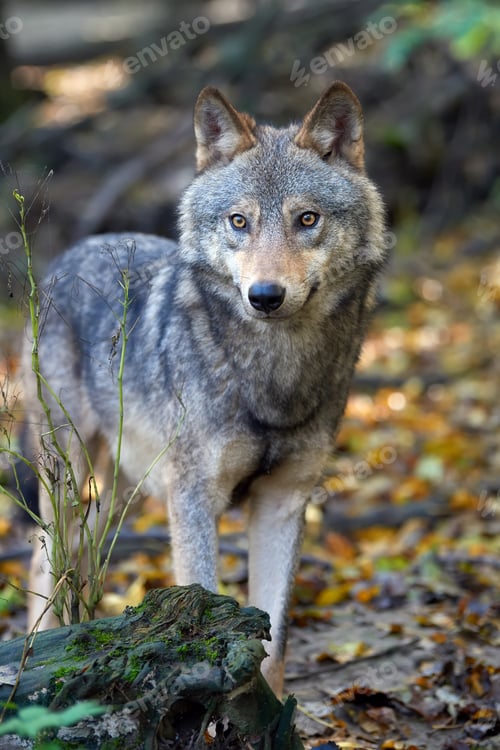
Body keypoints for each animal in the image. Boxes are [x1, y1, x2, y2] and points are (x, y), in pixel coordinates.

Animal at [23, 81, 386, 696]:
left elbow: (276, 642)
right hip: (69, 476)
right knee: (45, 558)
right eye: (239, 221)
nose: (265, 295)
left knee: (86, 555)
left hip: (124, 490)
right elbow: (205, 602)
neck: (272, 375)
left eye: (307, 218)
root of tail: (70, 254)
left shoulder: (283, 503)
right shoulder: (193, 499)